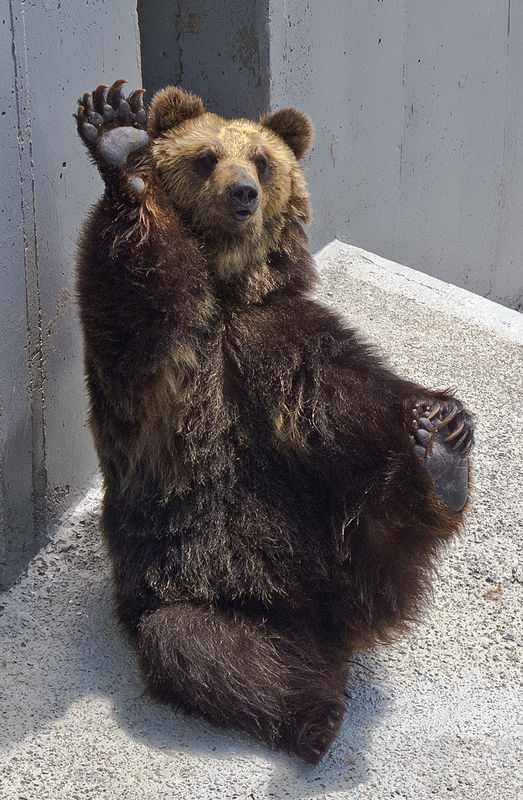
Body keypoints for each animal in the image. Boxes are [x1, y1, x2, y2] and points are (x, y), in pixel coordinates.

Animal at [74, 79, 474, 764]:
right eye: (207, 156)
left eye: (262, 162)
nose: (243, 194)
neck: (229, 288)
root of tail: (328, 620)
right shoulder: (156, 359)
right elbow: (131, 295)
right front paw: (119, 137)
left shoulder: (282, 336)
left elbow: (344, 395)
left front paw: (439, 416)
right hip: (192, 580)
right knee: (208, 647)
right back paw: (314, 717)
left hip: (333, 539)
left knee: (380, 513)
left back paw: (441, 470)